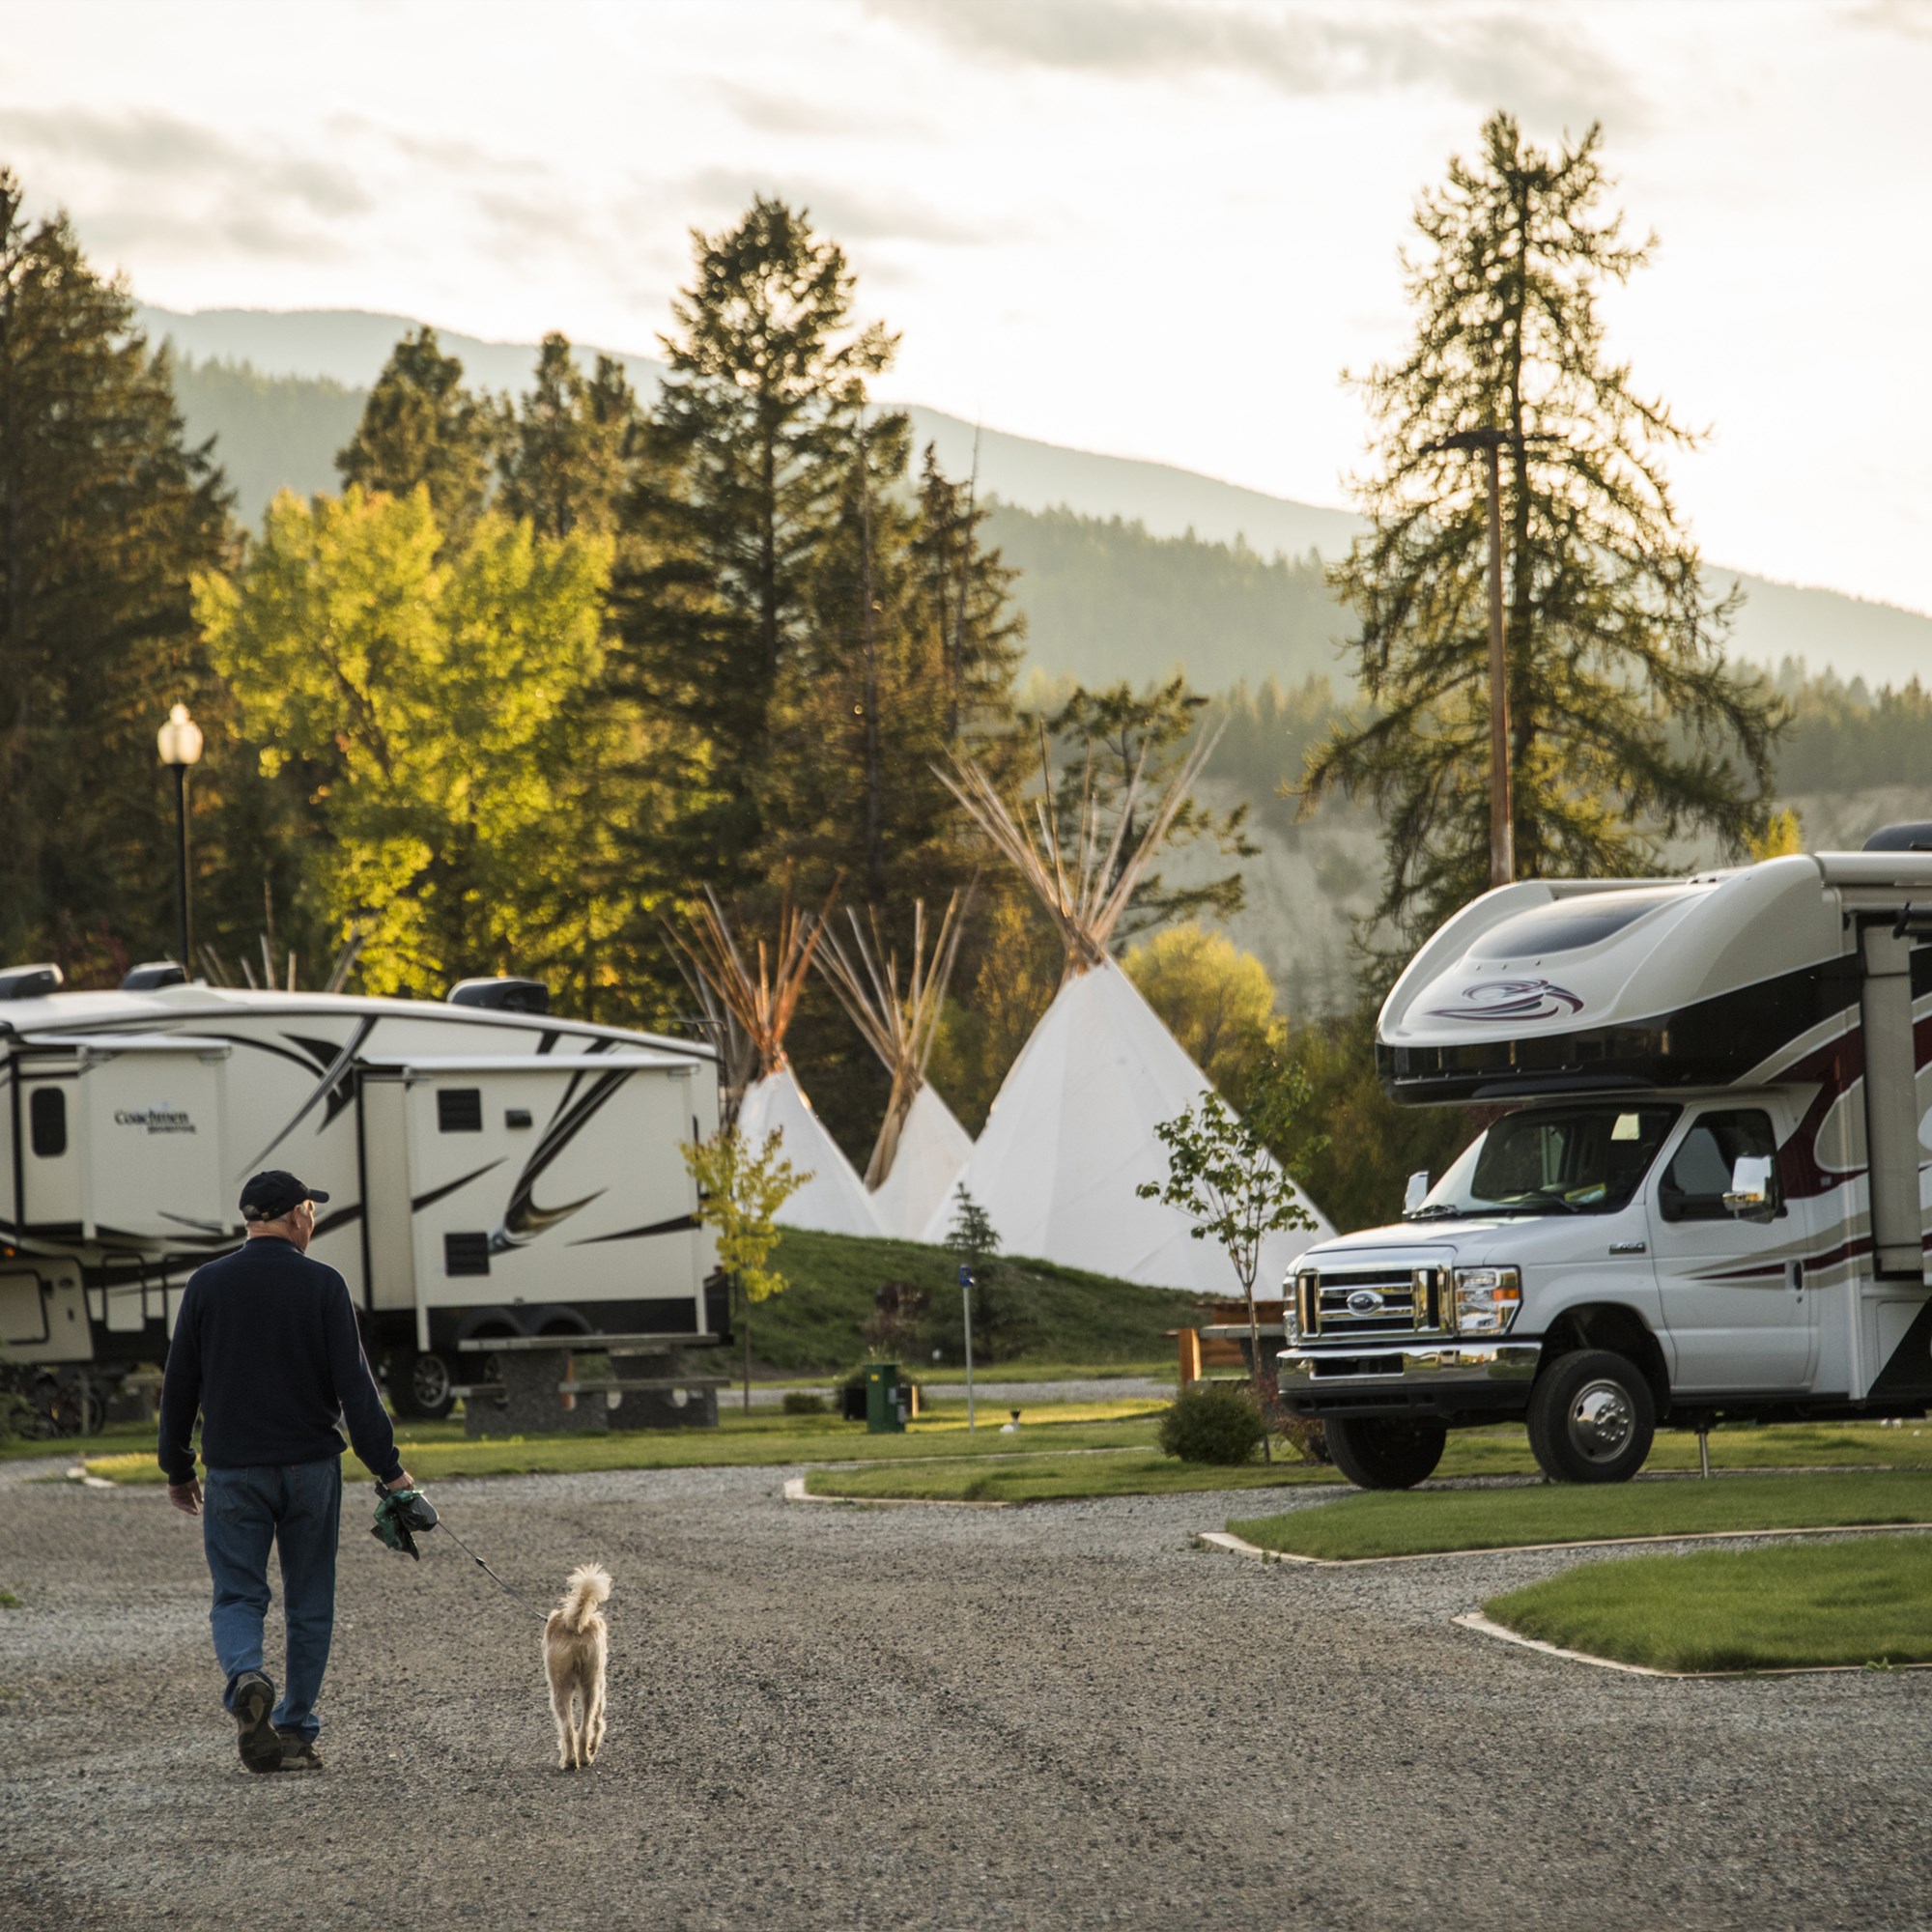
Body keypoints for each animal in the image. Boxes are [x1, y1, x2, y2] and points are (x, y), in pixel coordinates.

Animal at [541, 1561, 607, 1770]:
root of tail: (576, 1624)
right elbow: (597, 1721)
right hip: (588, 1686)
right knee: (583, 1727)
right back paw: (583, 1758)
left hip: (560, 1688)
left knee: (569, 1728)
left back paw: (570, 1760)